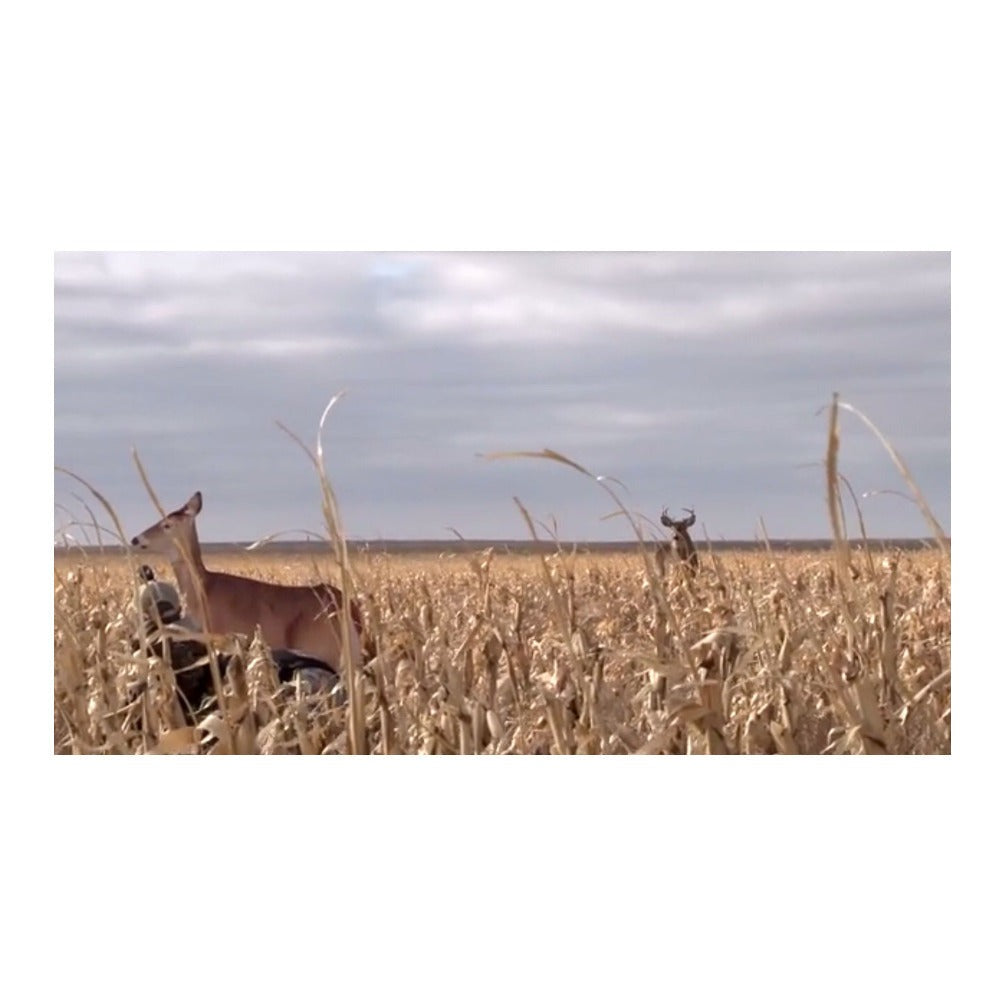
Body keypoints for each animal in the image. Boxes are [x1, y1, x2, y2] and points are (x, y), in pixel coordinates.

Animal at [130, 491, 366, 670]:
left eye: (167, 524)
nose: (135, 539)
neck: (204, 589)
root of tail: (351, 609)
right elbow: (165, 629)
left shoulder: (222, 634)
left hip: (328, 651)